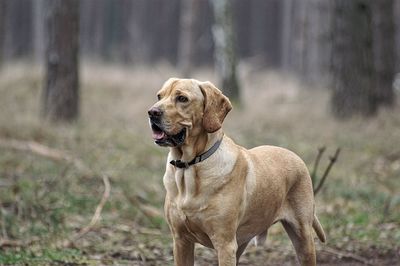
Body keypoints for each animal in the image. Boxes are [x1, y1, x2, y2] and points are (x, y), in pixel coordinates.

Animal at [147, 78, 324, 264]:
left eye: (182, 98)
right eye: (159, 96)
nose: (152, 112)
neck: (190, 166)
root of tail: (296, 156)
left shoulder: (225, 244)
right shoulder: (181, 240)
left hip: (303, 239)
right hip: (241, 244)